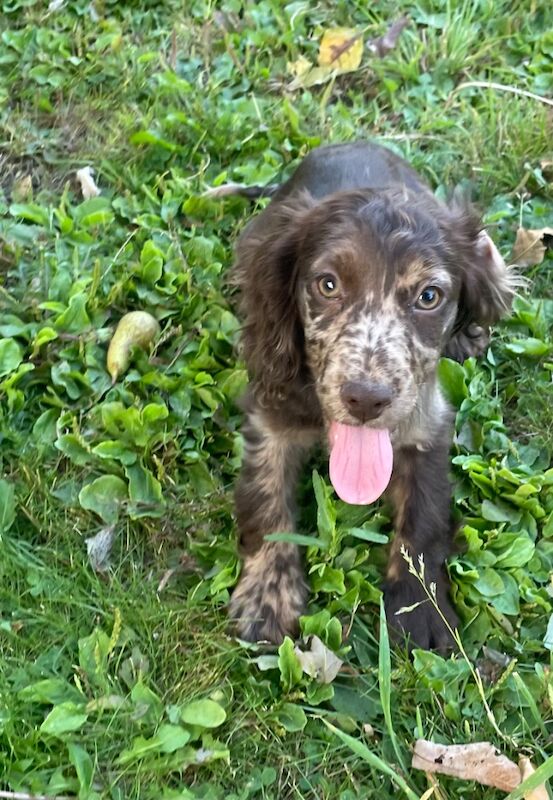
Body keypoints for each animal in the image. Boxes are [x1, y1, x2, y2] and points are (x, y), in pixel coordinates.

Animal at [224, 139, 512, 648]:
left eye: (429, 296)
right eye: (328, 285)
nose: (366, 399)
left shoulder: (426, 421)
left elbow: (425, 514)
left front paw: (422, 607)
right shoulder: (269, 416)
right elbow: (264, 498)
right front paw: (268, 595)